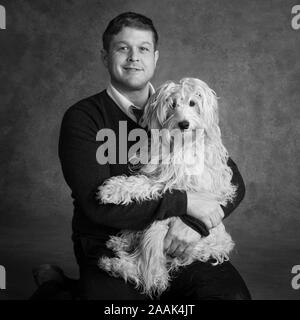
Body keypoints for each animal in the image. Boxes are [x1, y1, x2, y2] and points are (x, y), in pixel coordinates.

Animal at [96, 79, 237, 298]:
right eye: (172, 105)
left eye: (192, 103)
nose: (184, 124)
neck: (180, 145)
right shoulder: (157, 172)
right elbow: (139, 181)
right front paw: (113, 189)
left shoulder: (171, 184)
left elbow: (147, 186)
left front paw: (111, 190)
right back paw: (121, 244)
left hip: (161, 227)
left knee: (154, 275)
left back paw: (115, 265)